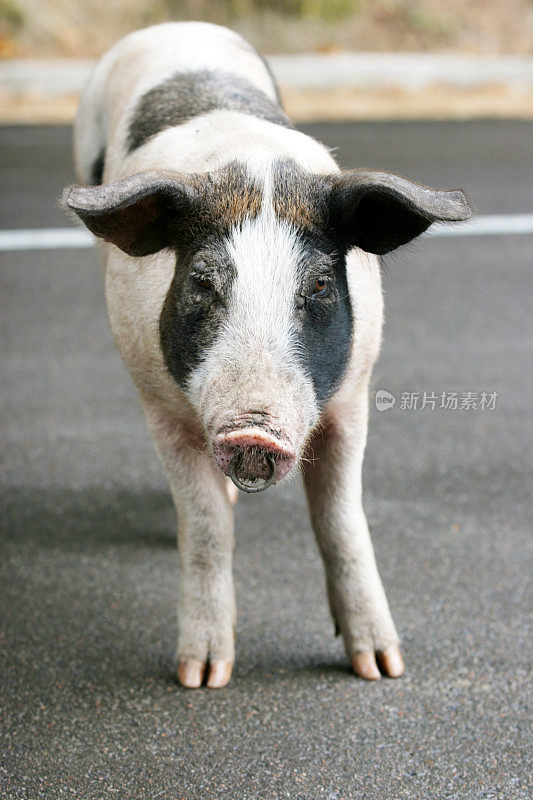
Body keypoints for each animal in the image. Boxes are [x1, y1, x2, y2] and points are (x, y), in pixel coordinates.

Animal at [63, 23, 470, 688]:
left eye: (320, 285)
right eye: (203, 282)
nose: (253, 431)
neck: (252, 172)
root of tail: (175, 26)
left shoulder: (353, 399)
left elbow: (342, 522)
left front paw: (381, 669)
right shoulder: (160, 407)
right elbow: (206, 527)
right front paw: (202, 677)